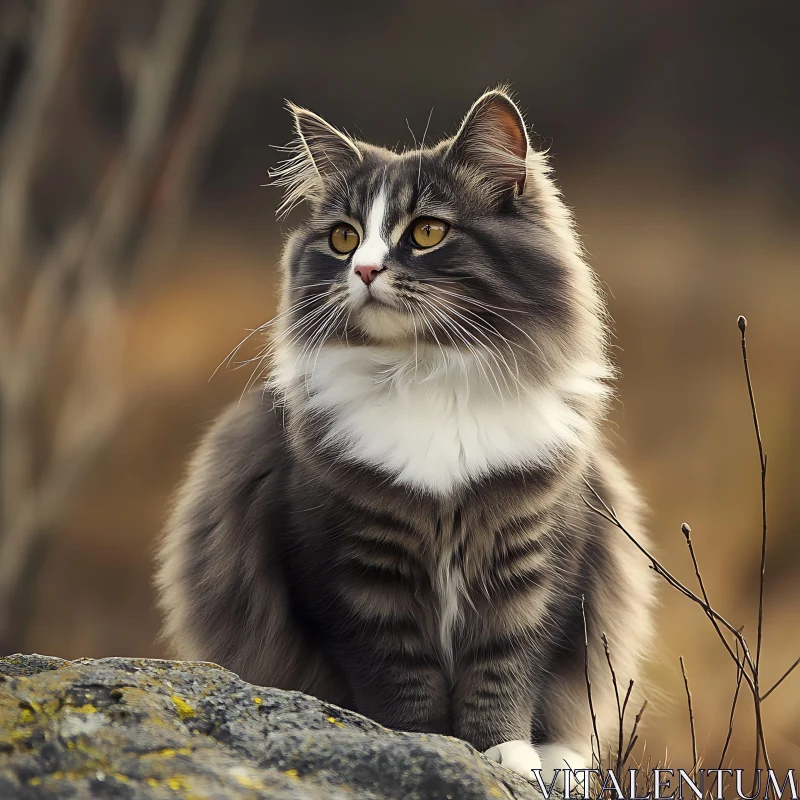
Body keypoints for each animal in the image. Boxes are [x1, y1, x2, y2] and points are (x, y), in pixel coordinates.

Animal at [156, 87, 656, 780]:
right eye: (343, 238)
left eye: (426, 232)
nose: (364, 270)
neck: (429, 373)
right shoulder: (353, 575)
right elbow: (399, 678)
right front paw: (423, 744)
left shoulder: (531, 560)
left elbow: (504, 669)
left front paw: (505, 755)